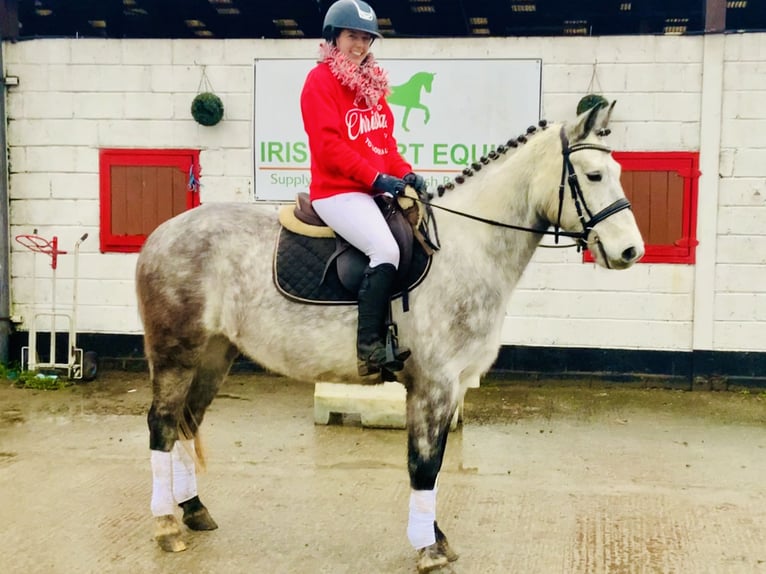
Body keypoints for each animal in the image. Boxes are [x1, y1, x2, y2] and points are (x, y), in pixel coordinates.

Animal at [136, 104, 640, 574]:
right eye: (594, 175)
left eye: (615, 173)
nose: (630, 250)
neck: (464, 247)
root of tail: (160, 234)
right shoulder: (434, 384)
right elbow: (424, 464)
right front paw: (428, 548)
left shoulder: (452, 385)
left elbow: (434, 463)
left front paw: (436, 538)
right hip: (177, 354)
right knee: (162, 424)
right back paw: (165, 526)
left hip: (214, 353)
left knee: (187, 421)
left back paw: (194, 511)